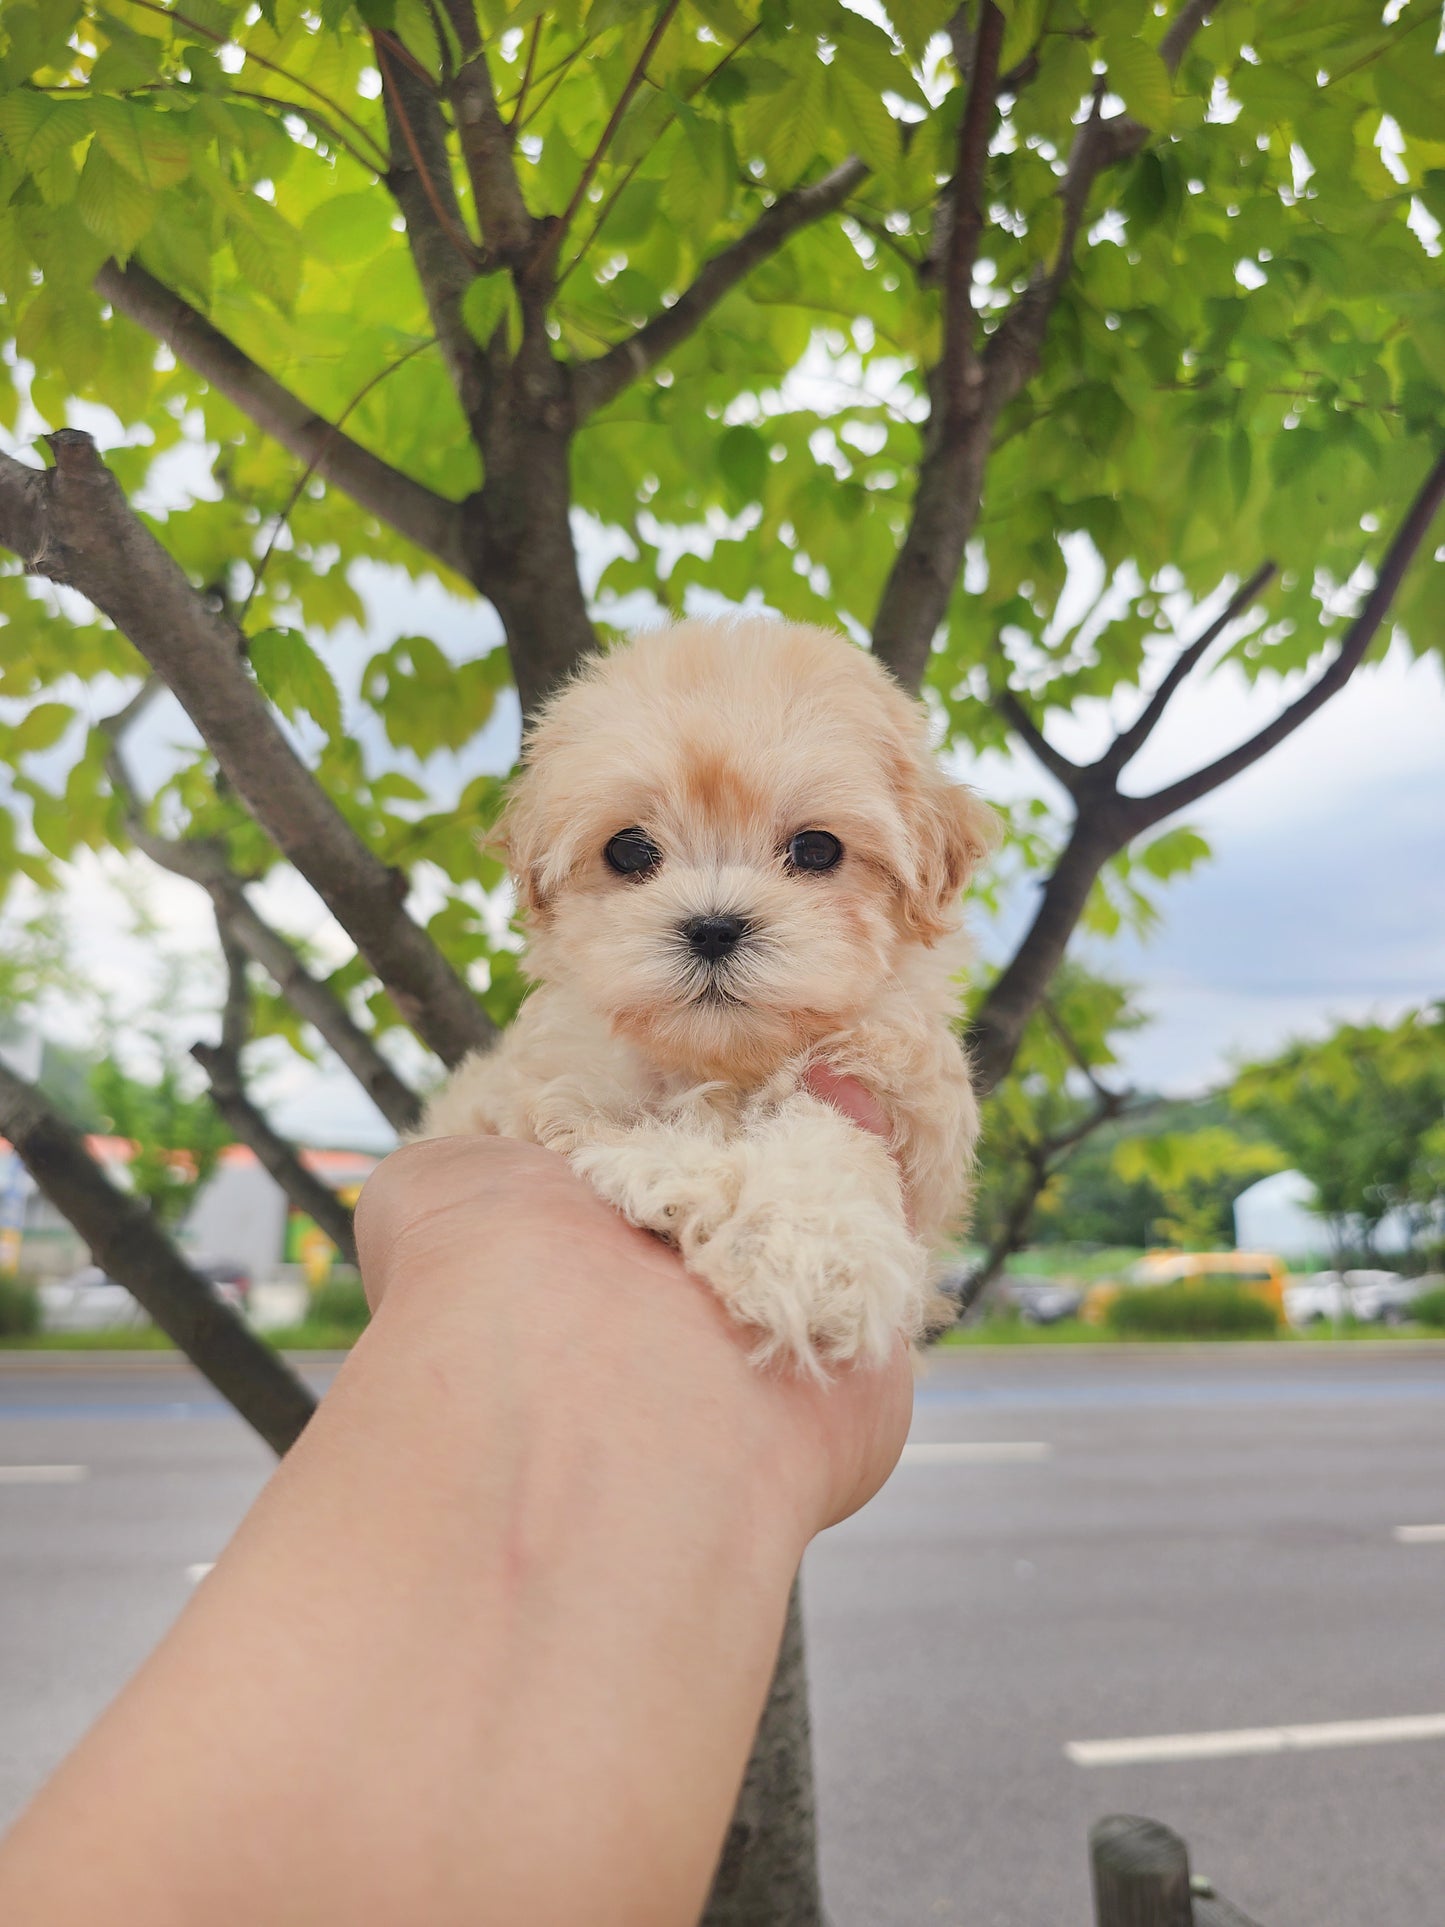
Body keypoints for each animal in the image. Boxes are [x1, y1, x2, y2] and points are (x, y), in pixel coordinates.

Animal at [421, 616, 994, 1372]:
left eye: (816, 850)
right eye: (629, 851)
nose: (714, 928)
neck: (723, 1061)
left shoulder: (905, 1098)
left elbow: (824, 1133)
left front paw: (809, 1245)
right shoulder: (544, 1091)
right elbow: (603, 1131)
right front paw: (675, 1170)